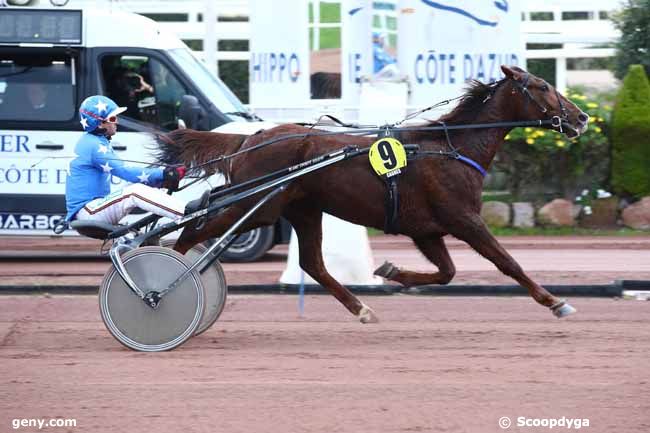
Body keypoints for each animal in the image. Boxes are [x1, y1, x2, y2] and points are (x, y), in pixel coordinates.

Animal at [157, 66, 588, 320]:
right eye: (542, 86)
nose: (582, 117)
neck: (453, 147)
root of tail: (254, 136)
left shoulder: (426, 229)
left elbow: (446, 273)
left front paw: (391, 270)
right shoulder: (463, 219)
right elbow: (507, 262)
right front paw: (555, 301)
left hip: (303, 209)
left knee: (313, 263)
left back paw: (361, 308)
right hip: (255, 207)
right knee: (193, 229)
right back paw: (163, 280)